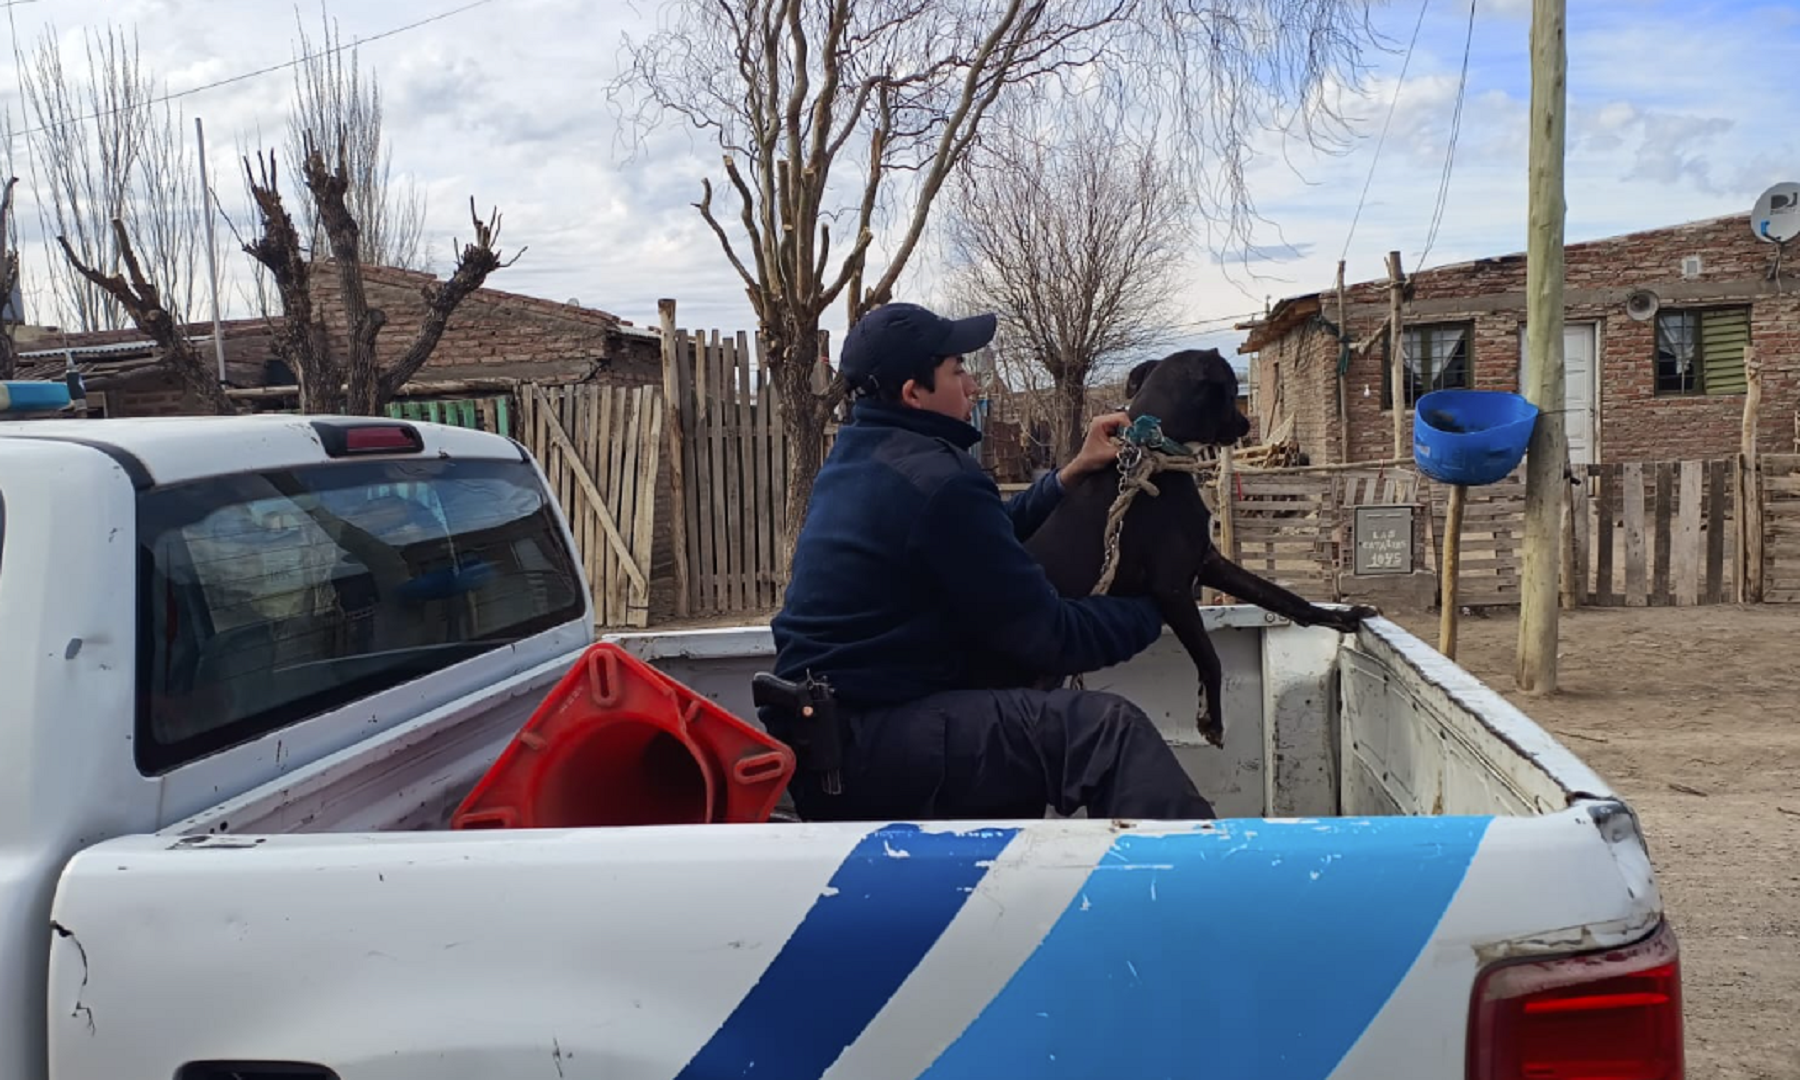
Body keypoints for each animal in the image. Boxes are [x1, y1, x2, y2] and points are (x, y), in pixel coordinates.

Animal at [1022, 351, 1368, 745]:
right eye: (1231, 391)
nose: (1245, 422)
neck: (1153, 452)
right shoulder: (1173, 588)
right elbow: (1209, 657)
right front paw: (1211, 718)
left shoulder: (1208, 561)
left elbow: (1281, 596)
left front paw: (1339, 617)